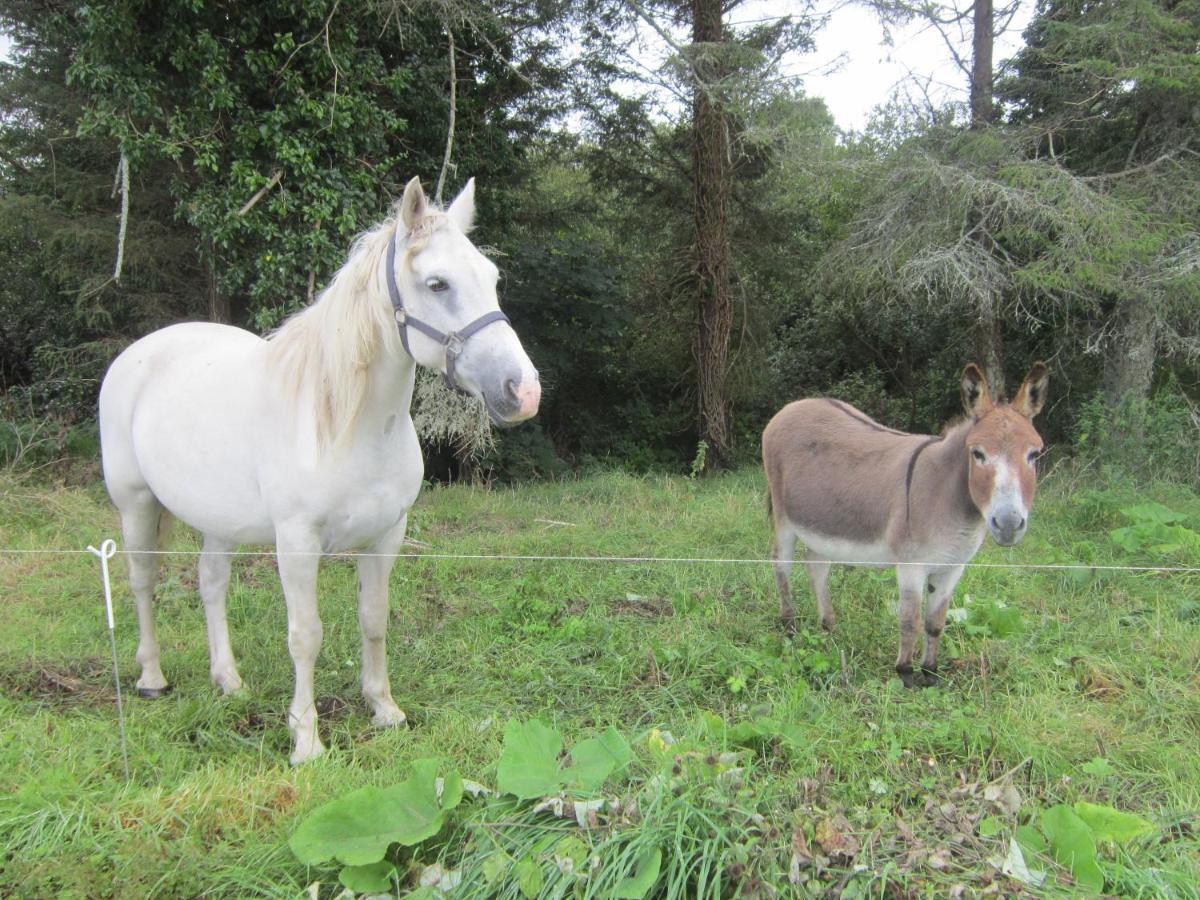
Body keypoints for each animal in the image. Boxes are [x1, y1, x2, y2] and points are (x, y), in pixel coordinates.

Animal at [98, 180, 540, 763]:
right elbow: (305, 635)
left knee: (212, 583)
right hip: (135, 503)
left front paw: (385, 709)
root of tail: (137, 354)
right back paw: (151, 677)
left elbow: (373, 618)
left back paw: (229, 681)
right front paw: (306, 738)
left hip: (219, 520)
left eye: (491, 278)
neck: (347, 424)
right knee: (142, 581)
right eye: (437, 283)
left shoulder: (386, 536)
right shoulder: (297, 543)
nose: (523, 390)